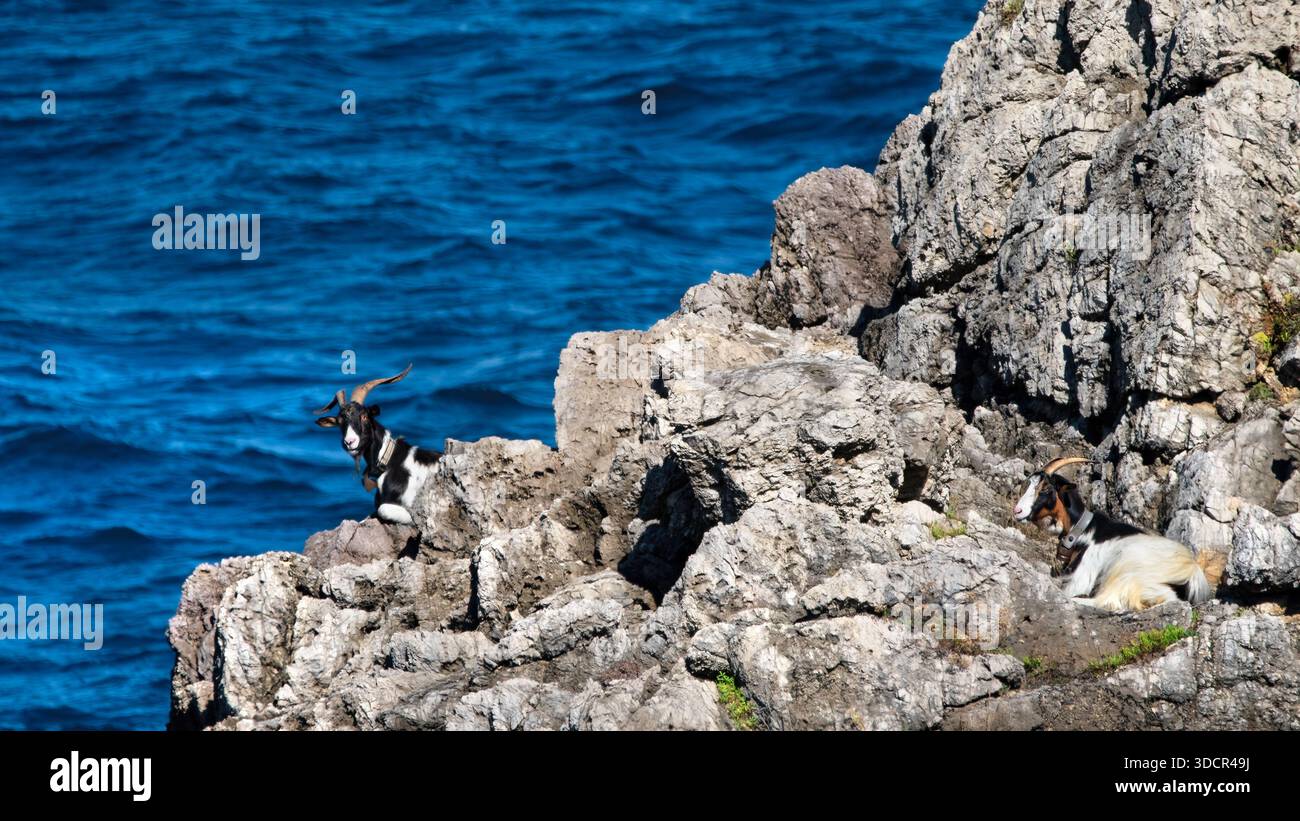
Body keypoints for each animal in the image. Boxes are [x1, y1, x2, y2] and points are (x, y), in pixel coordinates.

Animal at [1013, 456, 1220, 613]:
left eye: (1046, 489)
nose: (1017, 511)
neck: (1083, 530)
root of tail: (1190, 574)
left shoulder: (1083, 576)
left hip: (1129, 572)